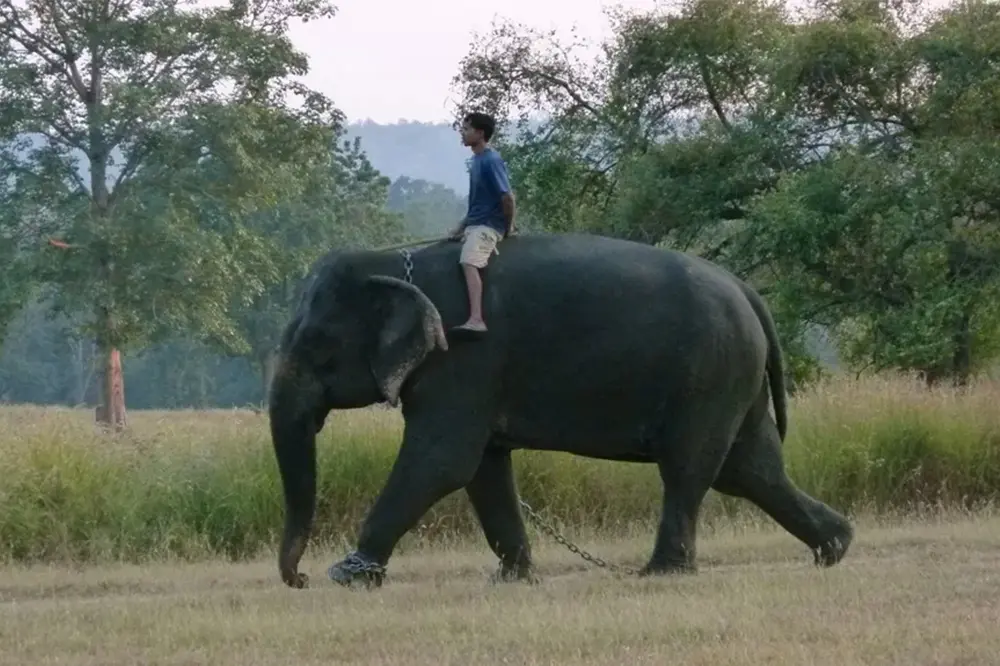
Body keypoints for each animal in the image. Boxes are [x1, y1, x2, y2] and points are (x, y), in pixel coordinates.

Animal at [267, 231, 854, 589]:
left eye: (317, 345)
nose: (298, 578)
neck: (393, 262)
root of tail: (749, 293)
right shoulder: (472, 379)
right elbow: (482, 469)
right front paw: (513, 578)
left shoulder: (464, 360)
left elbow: (441, 461)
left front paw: (347, 575)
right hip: (733, 377)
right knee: (750, 470)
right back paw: (836, 547)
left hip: (711, 373)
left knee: (690, 468)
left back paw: (662, 573)